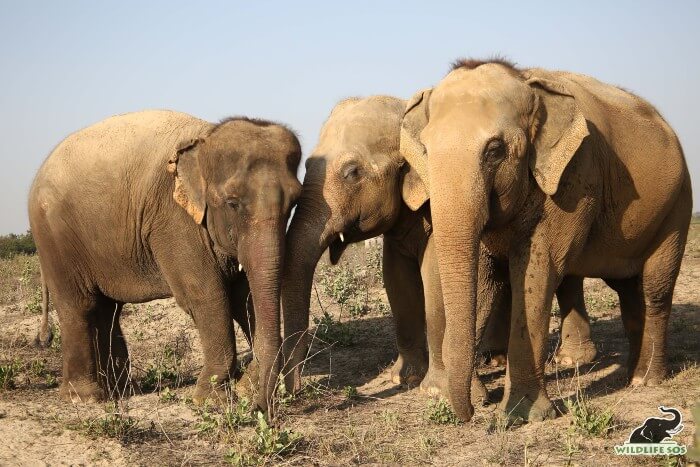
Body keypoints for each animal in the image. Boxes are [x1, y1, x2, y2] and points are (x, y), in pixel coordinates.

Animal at [28, 110, 300, 414]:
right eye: (232, 203)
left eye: (294, 203)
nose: (260, 408)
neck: (205, 138)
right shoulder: (172, 219)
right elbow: (206, 295)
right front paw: (210, 400)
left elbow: (245, 298)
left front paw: (243, 387)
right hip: (54, 237)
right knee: (80, 305)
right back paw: (85, 397)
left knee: (108, 310)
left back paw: (124, 391)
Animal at [284, 96, 596, 402]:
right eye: (307, 166)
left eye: (352, 172)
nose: (295, 390)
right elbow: (397, 282)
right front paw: (404, 379)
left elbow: (434, 282)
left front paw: (434, 389)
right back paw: (496, 358)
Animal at [402, 56, 692, 422]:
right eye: (425, 150)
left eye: (495, 150)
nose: (470, 414)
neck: (525, 81)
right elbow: (484, 279)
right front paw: (456, 398)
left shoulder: (574, 177)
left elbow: (537, 271)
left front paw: (521, 415)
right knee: (628, 287)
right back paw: (631, 375)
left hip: (678, 206)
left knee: (656, 287)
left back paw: (645, 380)